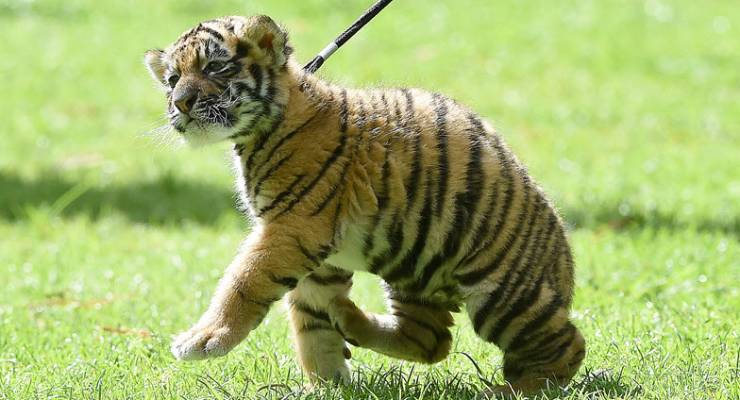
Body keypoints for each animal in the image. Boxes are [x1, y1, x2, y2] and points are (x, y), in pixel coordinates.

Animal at [143, 15, 586, 398]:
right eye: (172, 79)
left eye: (215, 67)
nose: (181, 103)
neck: (259, 131)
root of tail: (564, 259)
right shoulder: (312, 251)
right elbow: (309, 322)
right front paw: (325, 387)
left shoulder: (291, 228)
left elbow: (243, 280)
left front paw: (203, 339)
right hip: (414, 270)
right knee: (431, 340)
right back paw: (347, 316)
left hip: (501, 292)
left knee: (568, 344)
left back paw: (512, 390)